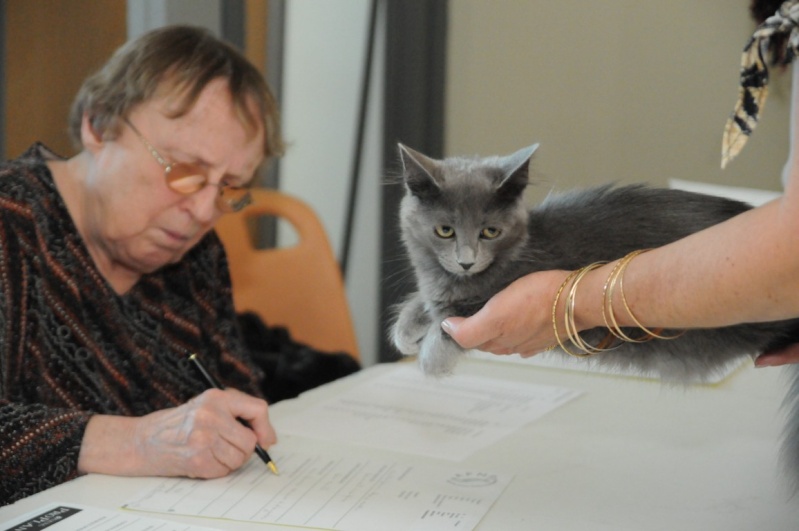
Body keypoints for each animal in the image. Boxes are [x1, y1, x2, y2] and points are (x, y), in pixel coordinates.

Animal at [392, 142, 799, 486]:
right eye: (445, 230)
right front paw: (406, 329)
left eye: (490, 231)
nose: (466, 261)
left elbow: (450, 322)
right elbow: (426, 301)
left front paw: (431, 360)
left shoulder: (487, 297)